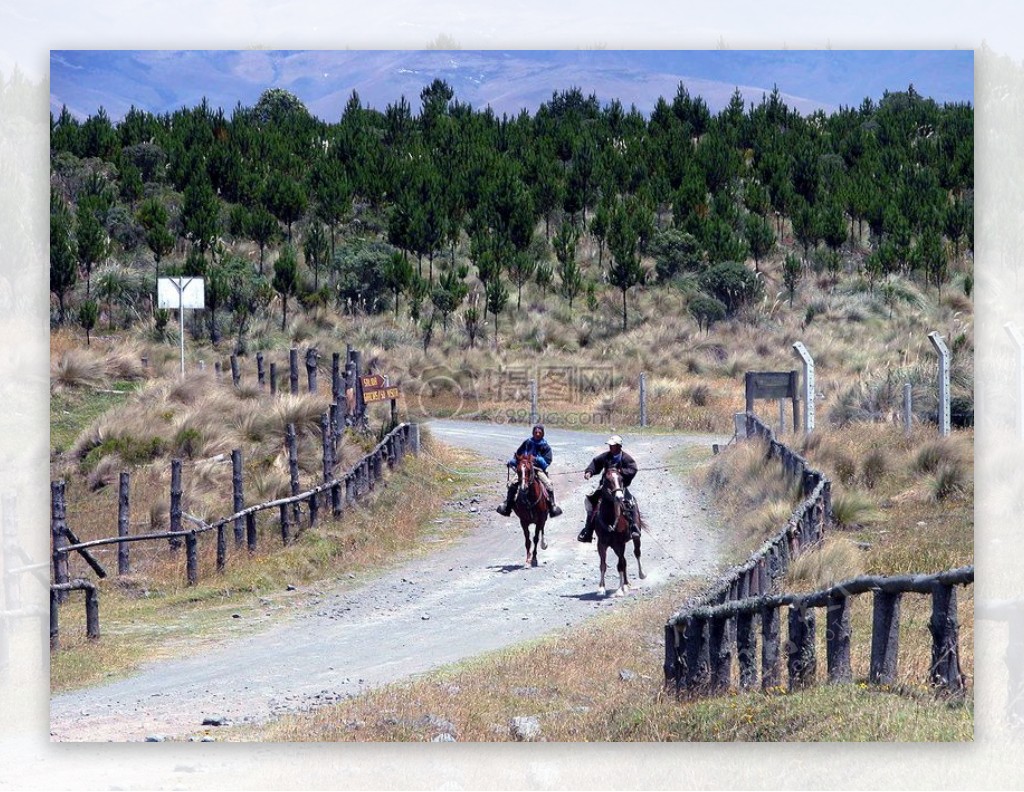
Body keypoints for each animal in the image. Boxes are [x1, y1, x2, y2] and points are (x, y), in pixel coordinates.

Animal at [589, 463, 643, 594]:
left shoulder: (620, 543)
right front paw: (601, 588)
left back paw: (639, 576)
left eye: (621, 479)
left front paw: (619, 590)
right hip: (614, 547)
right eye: (607, 480)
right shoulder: (602, 544)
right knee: (624, 561)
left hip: (634, 538)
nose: (619, 497)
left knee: (636, 553)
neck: (610, 518)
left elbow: (620, 565)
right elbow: (603, 564)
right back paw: (626, 584)